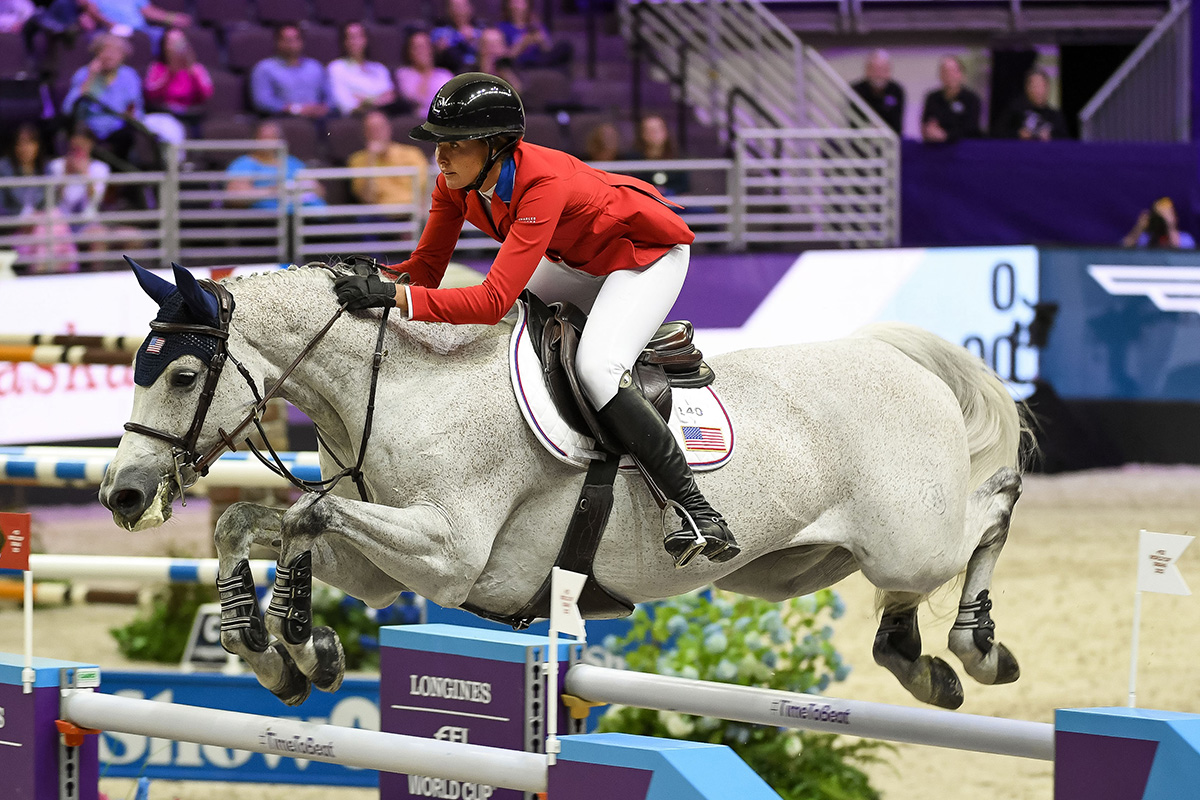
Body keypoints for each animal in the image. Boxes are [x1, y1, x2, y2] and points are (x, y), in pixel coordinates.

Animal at [98, 260, 1027, 710]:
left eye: (182, 375)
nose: (121, 496)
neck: (401, 386)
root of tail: (895, 356)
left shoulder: (449, 556)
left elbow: (303, 518)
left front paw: (293, 637)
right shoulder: (382, 564)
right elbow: (264, 523)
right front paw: (279, 650)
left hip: (911, 536)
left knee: (991, 511)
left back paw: (980, 647)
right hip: (796, 568)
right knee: (896, 611)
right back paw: (922, 667)